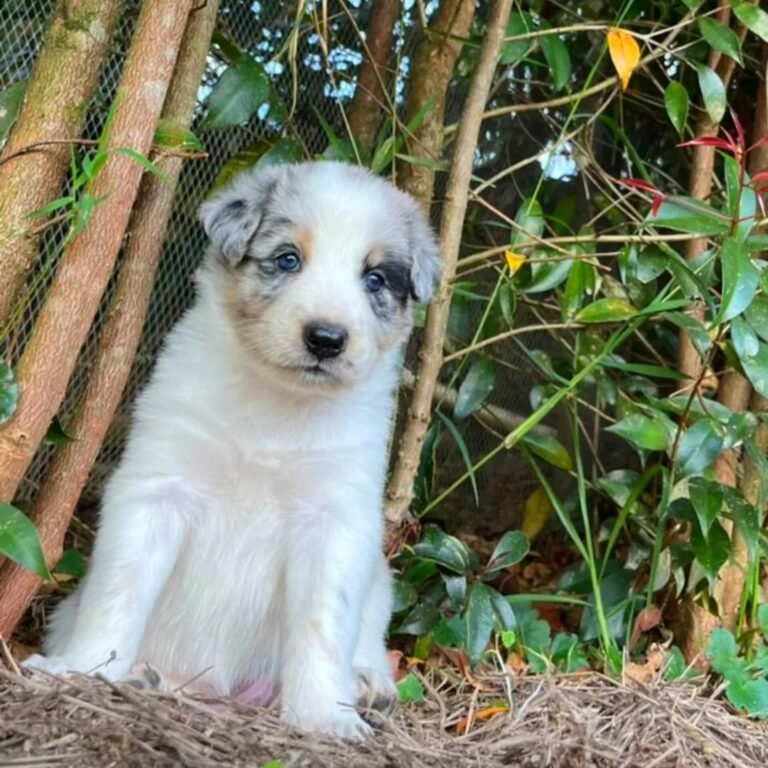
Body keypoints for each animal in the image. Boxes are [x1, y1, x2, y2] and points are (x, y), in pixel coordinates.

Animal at [24, 160, 440, 736]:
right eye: (287, 259)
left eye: (375, 278)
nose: (326, 339)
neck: (275, 405)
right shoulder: (157, 489)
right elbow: (118, 591)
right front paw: (84, 669)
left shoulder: (334, 520)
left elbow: (322, 626)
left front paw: (323, 719)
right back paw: (145, 678)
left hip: (379, 585)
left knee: (368, 643)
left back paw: (366, 687)